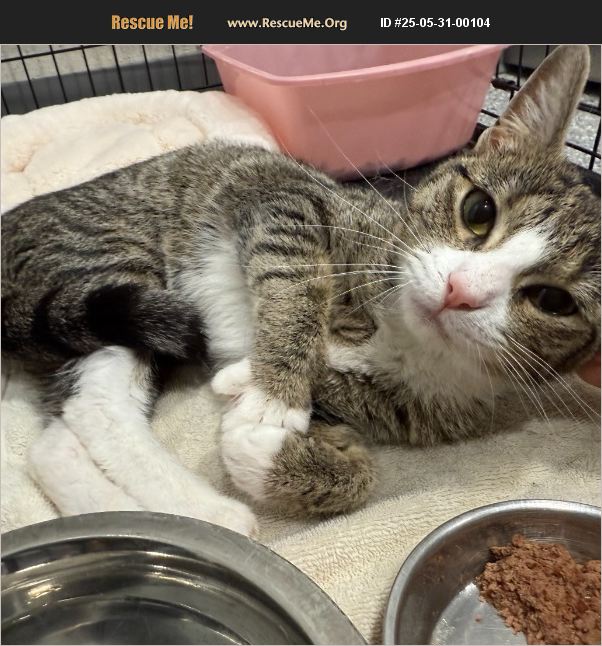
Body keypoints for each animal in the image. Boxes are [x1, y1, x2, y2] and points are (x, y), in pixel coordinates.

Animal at [1, 45, 599, 534]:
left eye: (554, 302)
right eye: (479, 211)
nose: (459, 290)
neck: (404, 335)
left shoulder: (406, 406)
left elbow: (359, 468)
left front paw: (261, 438)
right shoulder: (284, 196)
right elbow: (296, 274)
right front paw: (273, 396)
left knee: (64, 434)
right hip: (114, 265)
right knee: (99, 408)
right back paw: (209, 510)